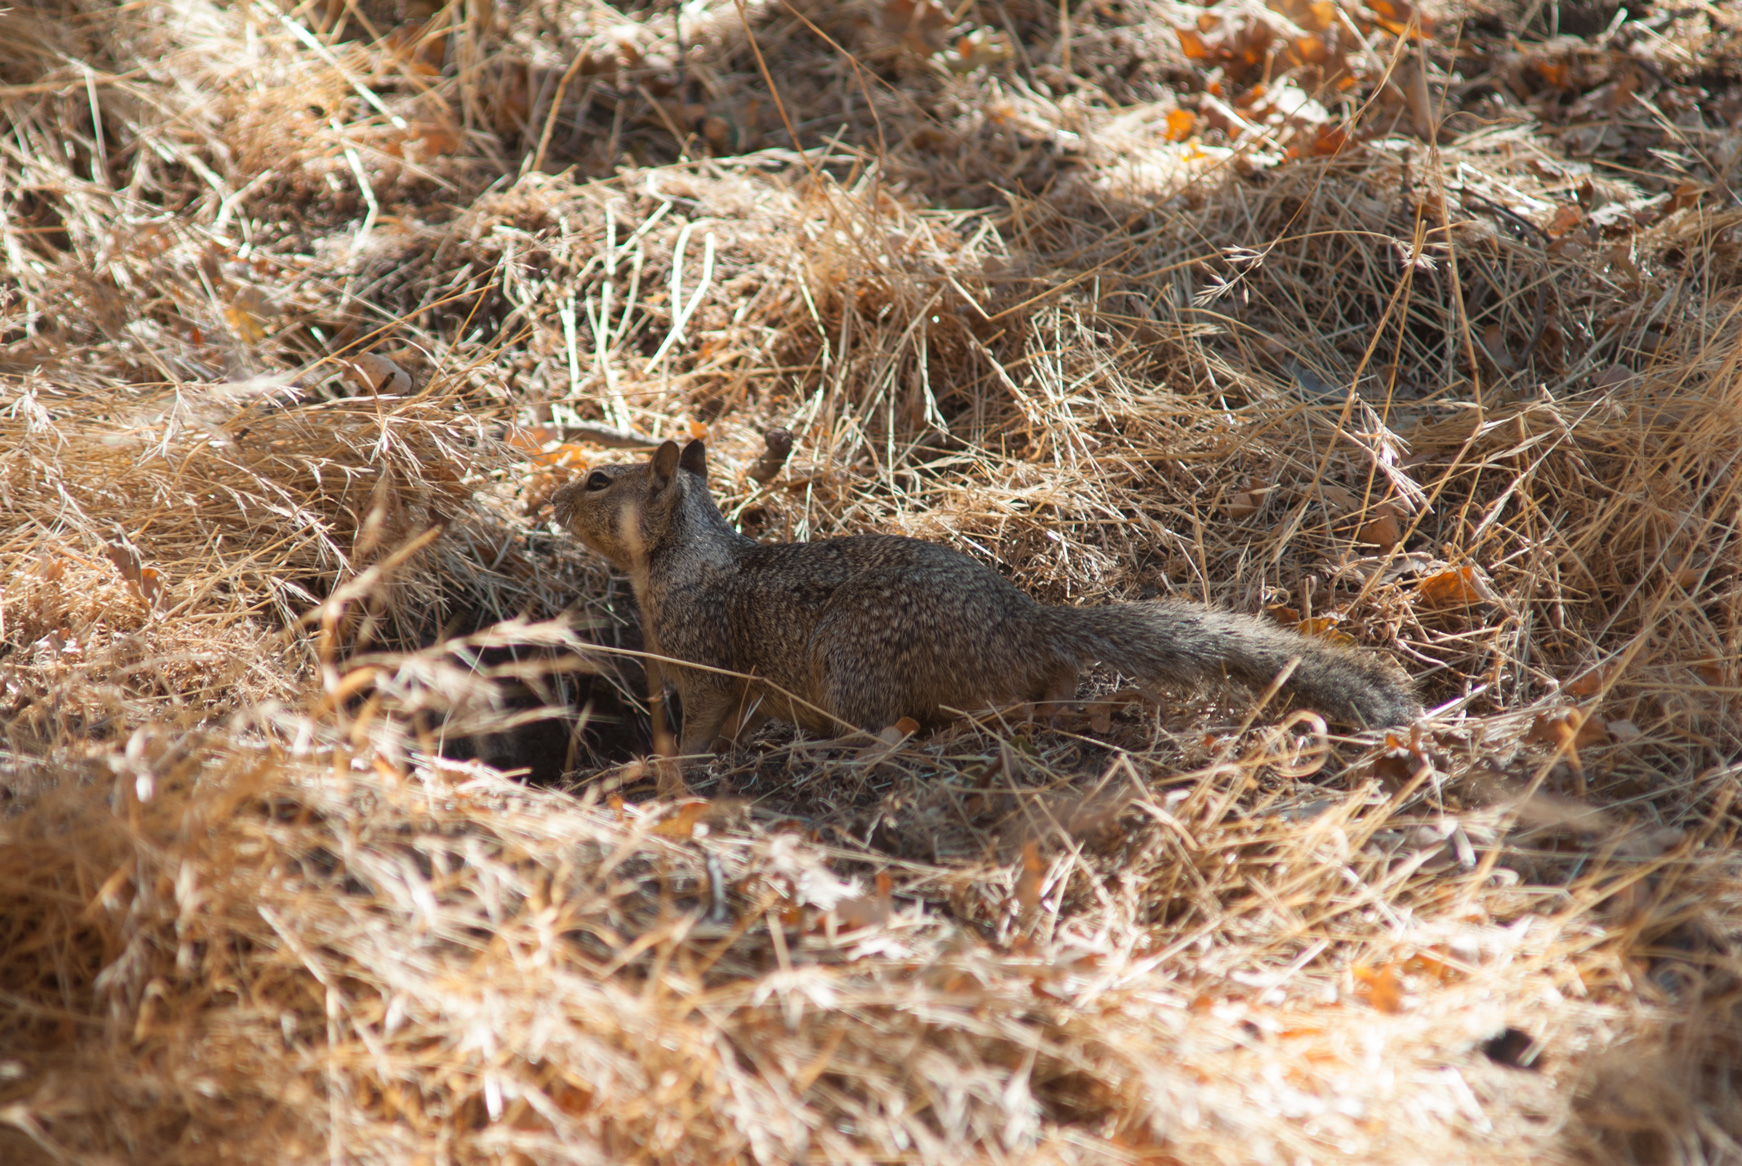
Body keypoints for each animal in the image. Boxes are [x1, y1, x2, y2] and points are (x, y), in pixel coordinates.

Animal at [552, 439, 1420, 754]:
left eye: (598, 479)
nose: (550, 503)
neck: (687, 560)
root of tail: (1026, 623)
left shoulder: (706, 670)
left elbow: (704, 725)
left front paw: (674, 765)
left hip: (856, 663)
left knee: (899, 728)